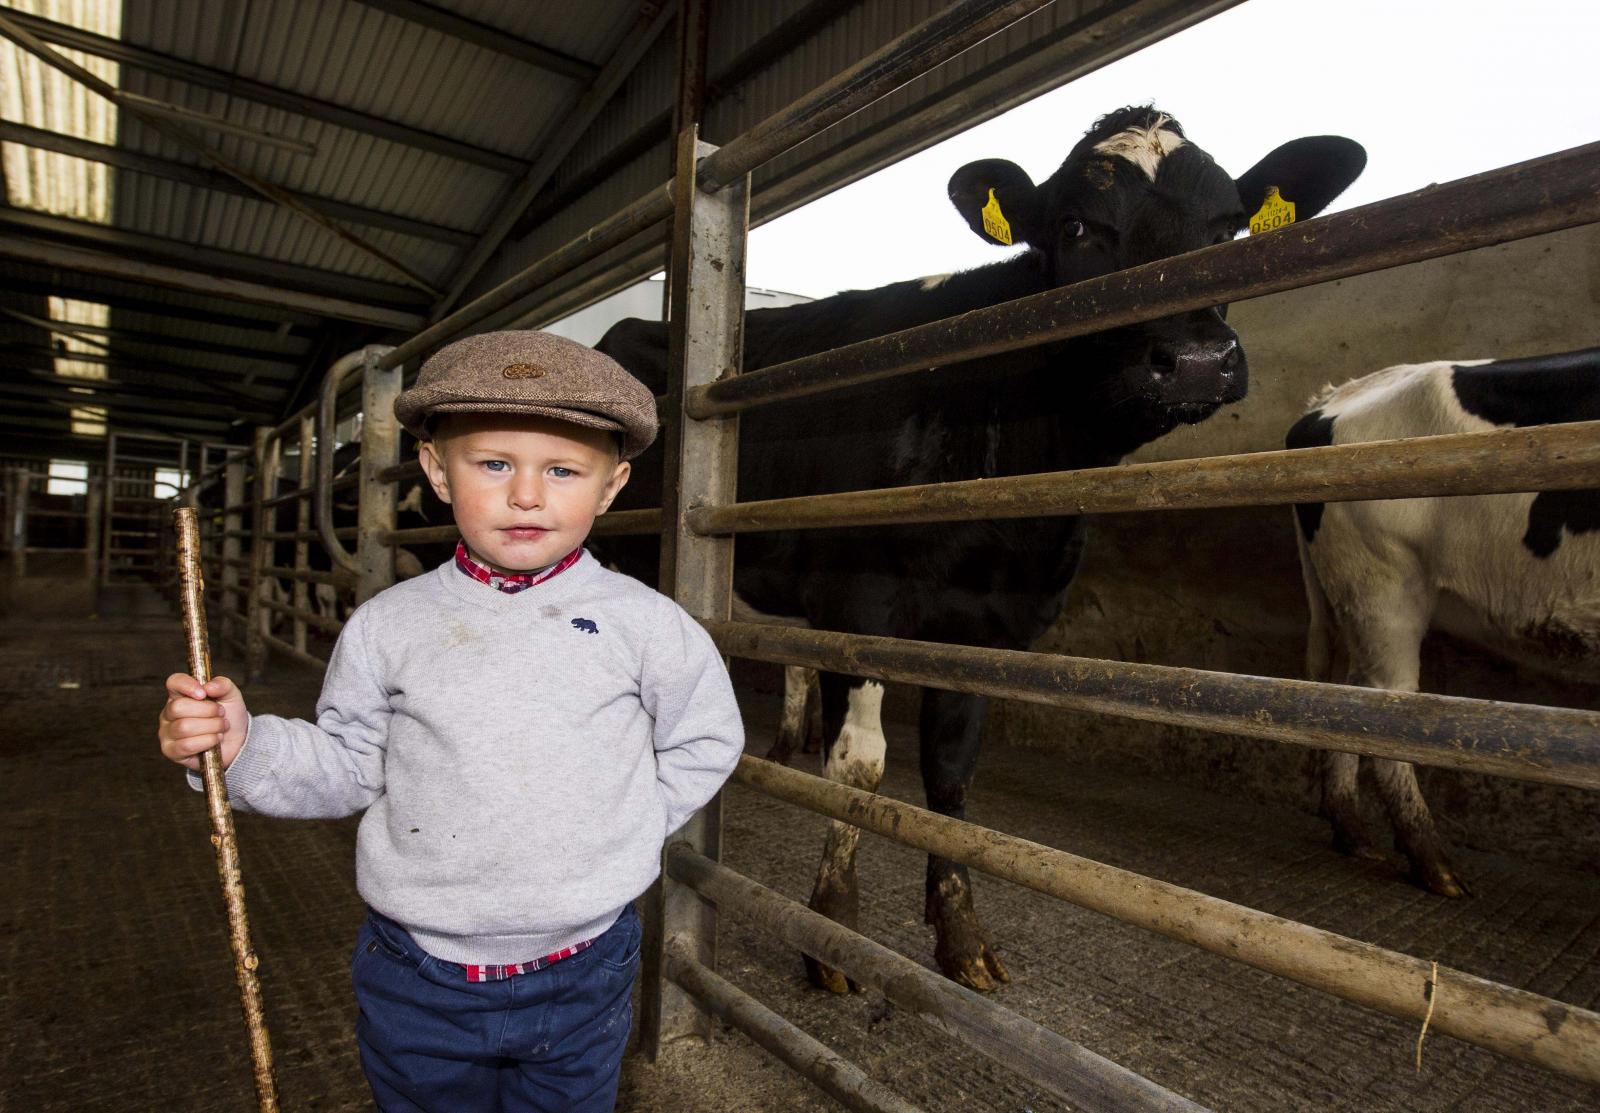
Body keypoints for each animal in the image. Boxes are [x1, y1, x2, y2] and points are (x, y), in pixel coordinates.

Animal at [601, 106, 1363, 991]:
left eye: (1229, 228)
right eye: (1077, 227)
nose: (1198, 361)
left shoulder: (994, 625)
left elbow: (952, 775)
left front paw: (961, 933)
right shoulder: (858, 605)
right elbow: (858, 767)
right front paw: (832, 928)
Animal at [1286, 348, 1600, 895]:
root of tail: (1329, 398)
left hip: (1353, 596)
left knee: (1347, 695)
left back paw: (1356, 838)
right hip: (1384, 586)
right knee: (1384, 706)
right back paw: (1437, 869)